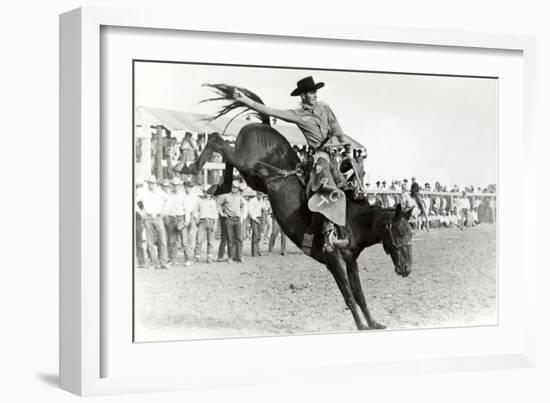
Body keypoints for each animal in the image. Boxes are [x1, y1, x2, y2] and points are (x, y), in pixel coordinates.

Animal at [178, 85, 414, 332]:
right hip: (246, 162)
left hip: (253, 177)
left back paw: (217, 186)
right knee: (217, 140)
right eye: (398, 232)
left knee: (226, 159)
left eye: (410, 233)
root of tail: (263, 125)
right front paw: (362, 326)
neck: (351, 220)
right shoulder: (335, 261)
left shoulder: (351, 262)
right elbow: (349, 297)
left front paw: (373, 323)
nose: (407, 268)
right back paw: (188, 167)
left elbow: (360, 296)